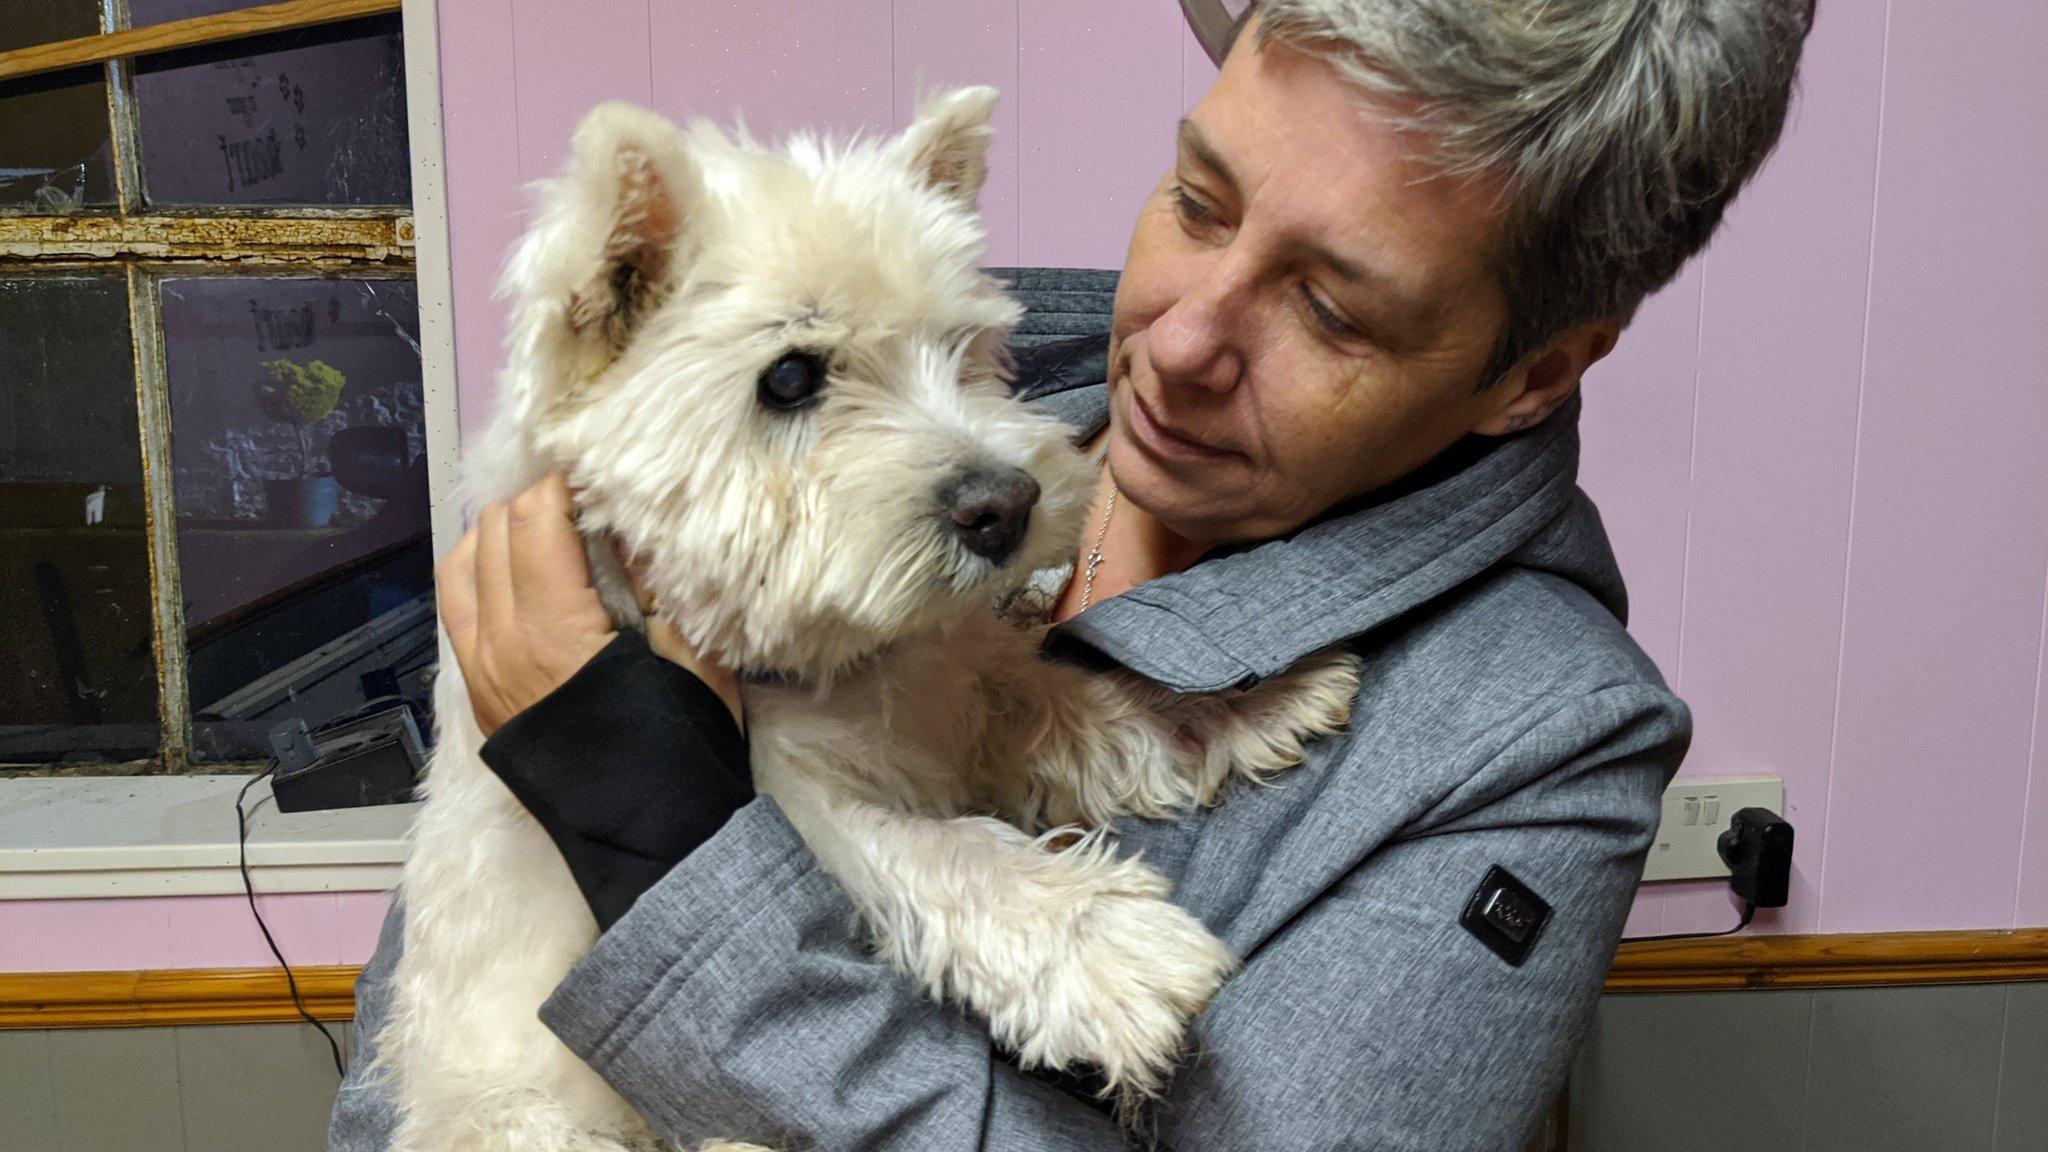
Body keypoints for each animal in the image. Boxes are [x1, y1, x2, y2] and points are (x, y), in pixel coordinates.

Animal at [376, 91, 1359, 1147]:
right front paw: (1109, 945)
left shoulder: (963, 687)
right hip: (533, 1117)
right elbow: (947, 853)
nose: (1006, 506)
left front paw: (1258, 705)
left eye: (959, 349)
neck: (828, 659)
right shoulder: (794, 802)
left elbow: (1082, 700)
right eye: (790, 378)